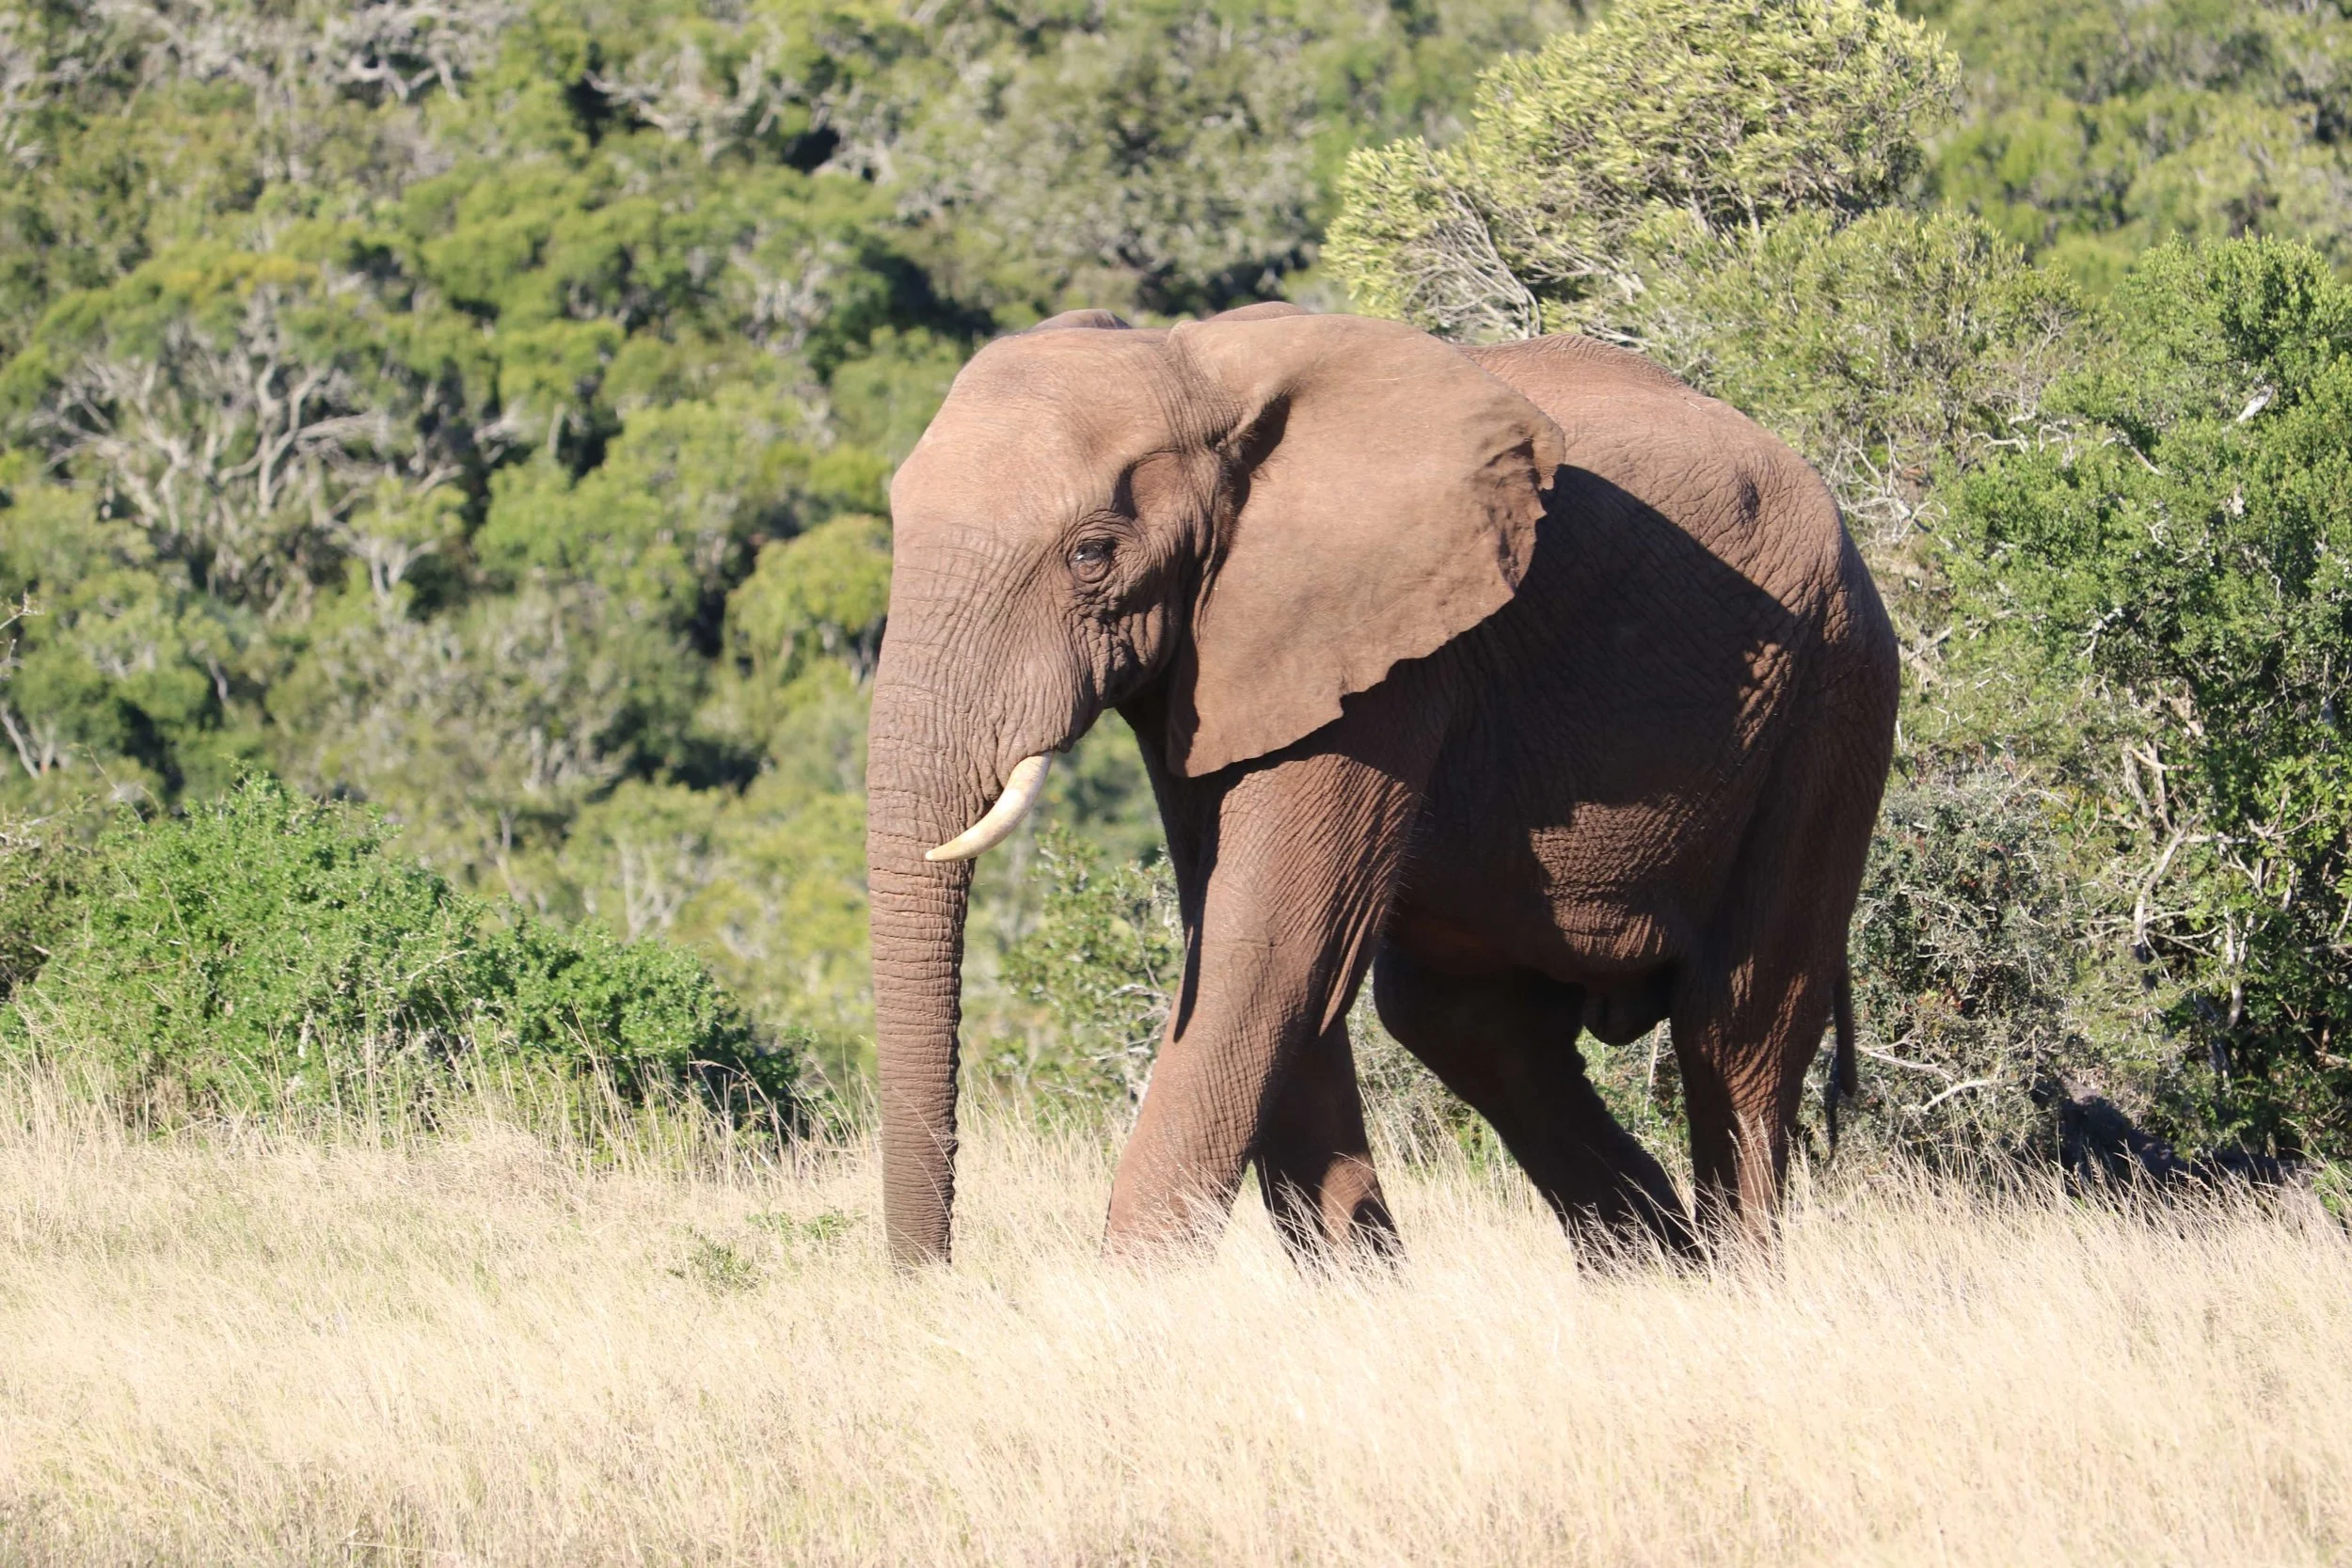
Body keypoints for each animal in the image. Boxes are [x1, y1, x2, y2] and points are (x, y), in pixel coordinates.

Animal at [866, 302, 1899, 1268]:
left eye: (1091, 554)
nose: (935, 1281)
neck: (1198, 369)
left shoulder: (1385, 652)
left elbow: (1265, 943)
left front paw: (1128, 1302)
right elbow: (1258, 946)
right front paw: (1359, 1293)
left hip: (1832, 700)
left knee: (1738, 1030)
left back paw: (1734, 1282)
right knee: (1472, 1025)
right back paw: (1658, 1274)